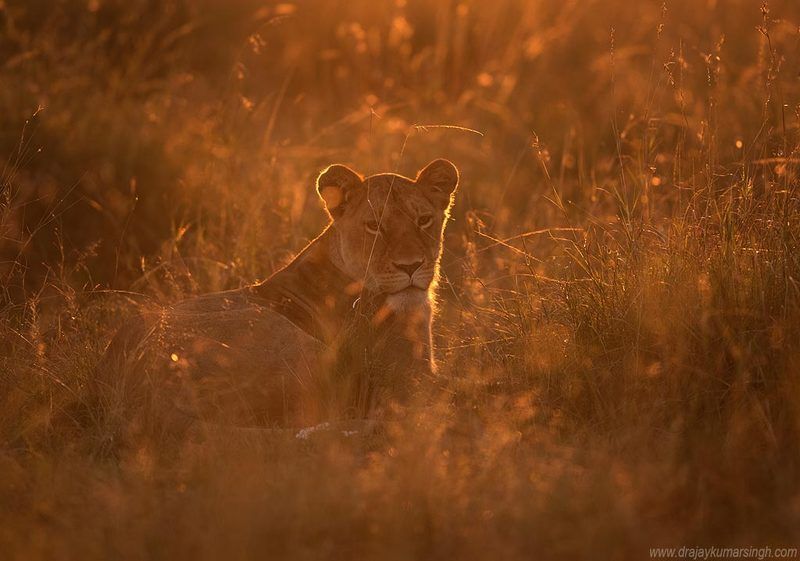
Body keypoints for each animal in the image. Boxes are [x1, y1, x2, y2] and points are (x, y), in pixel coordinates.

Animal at [93, 159, 460, 440]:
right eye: (374, 226)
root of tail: (142, 398)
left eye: (424, 220)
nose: (410, 266)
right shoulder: (410, 378)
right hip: (301, 350)